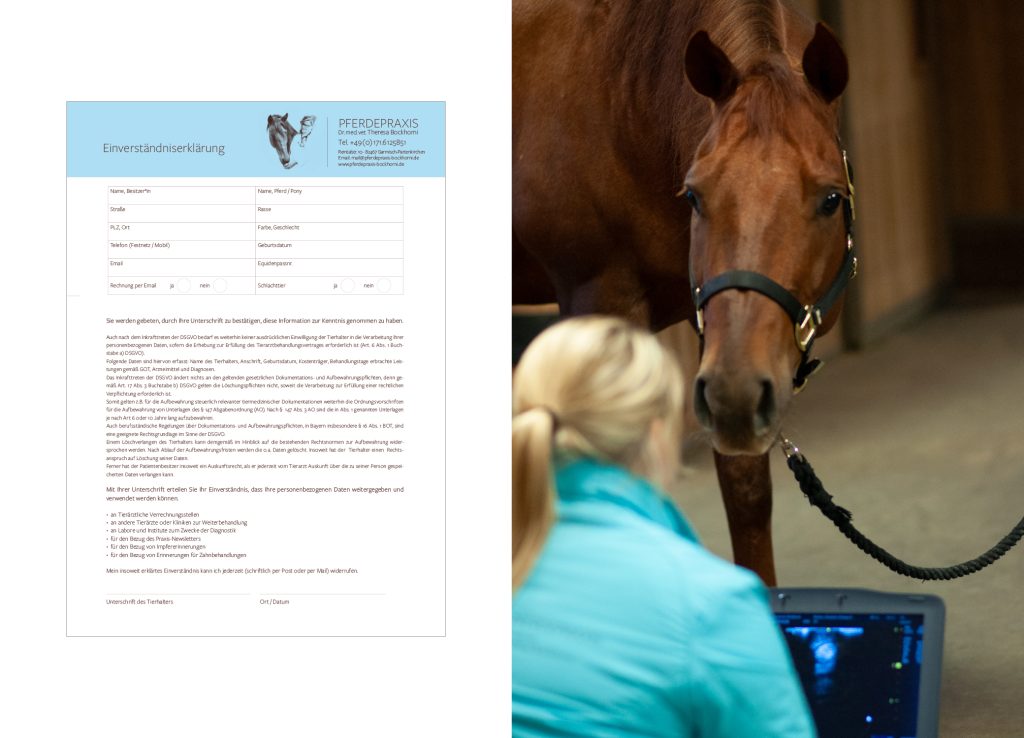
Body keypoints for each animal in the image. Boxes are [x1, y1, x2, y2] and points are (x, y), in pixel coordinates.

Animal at [513, 0, 853, 585]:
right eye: (694, 195)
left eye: (831, 198)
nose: (738, 396)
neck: (628, 99)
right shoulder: (599, 300)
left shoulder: (718, 337)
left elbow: (745, 490)